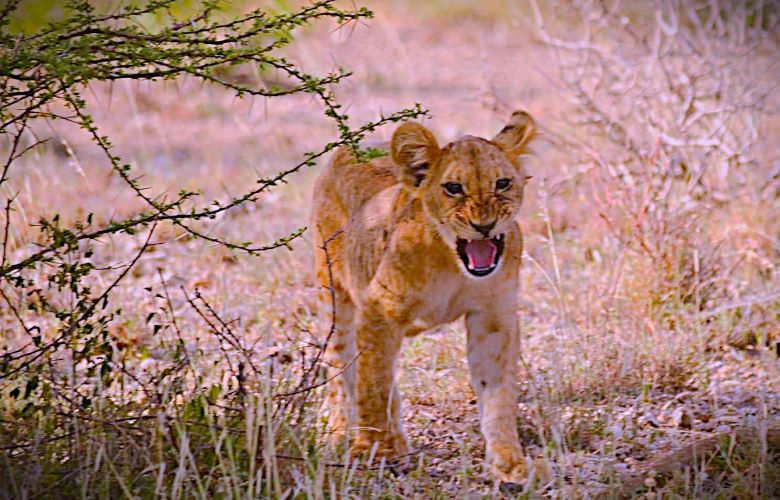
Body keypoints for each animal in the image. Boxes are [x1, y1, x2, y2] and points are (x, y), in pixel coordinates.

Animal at [311, 111, 537, 484]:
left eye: (502, 183)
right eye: (453, 188)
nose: (484, 226)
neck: (451, 261)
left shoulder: (492, 317)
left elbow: (498, 393)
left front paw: (509, 464)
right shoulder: (378, 309)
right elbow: (372, 388)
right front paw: (372, 451)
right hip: (335, 296)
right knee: (343, 368)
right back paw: (341, 436)